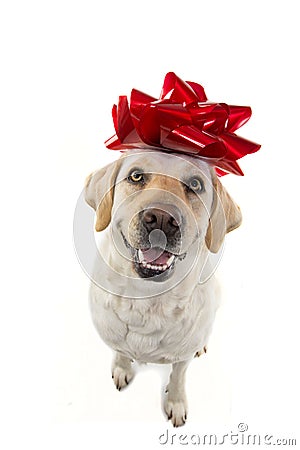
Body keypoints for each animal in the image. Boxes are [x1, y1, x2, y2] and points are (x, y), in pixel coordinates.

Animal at [84, 149, 241, 428]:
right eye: (136, 176)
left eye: (195, 184)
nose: (162, 219)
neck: (147, 299)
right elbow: (121, 352)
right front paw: (122, 368)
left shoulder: (182, 359)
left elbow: (178, 377)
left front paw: (175, 403)